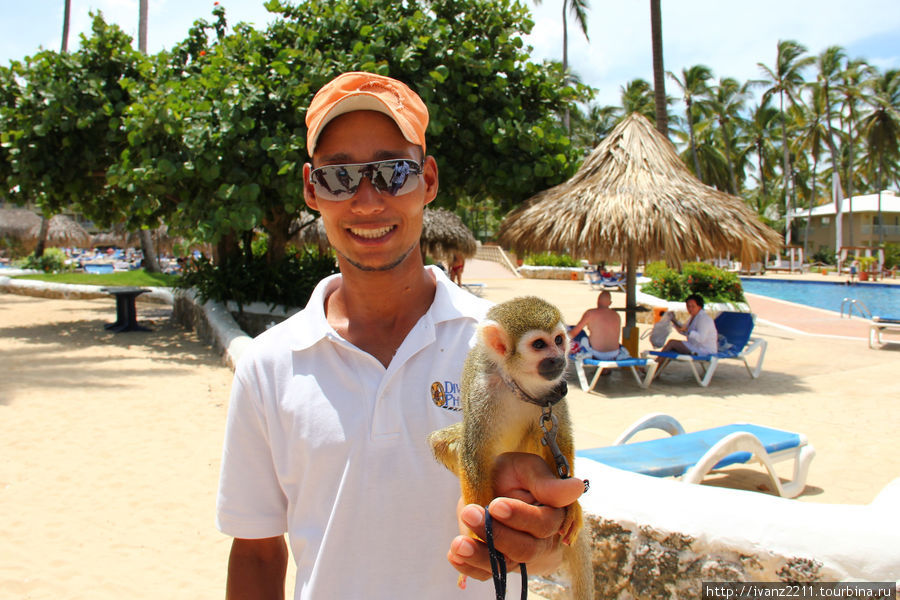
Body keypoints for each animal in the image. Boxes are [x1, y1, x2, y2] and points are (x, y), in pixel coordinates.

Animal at [428, 296, 592, 600]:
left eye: (559, 339)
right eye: (539, 344)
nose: (559, 358)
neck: (518, 381)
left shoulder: (555, 391)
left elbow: (561, 437)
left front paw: (571, 504)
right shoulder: (482, 393)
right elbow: (475, 455)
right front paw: (476, 535)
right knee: (441, 442)